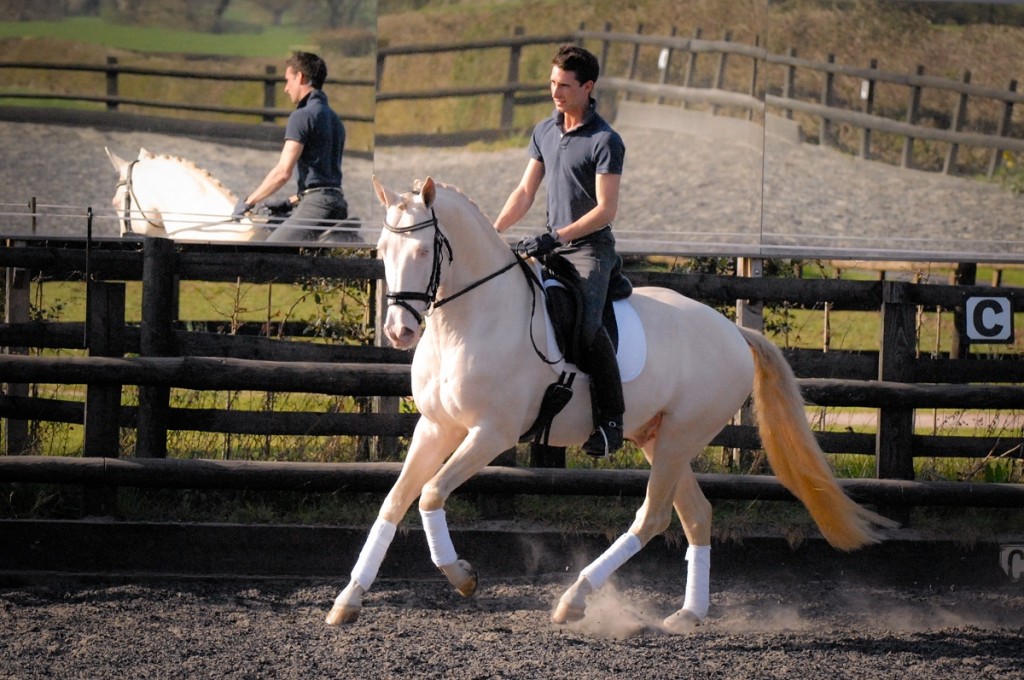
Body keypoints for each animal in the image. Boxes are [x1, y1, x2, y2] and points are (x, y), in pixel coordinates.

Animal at [327, 176, 897, 630]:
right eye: (383, 249)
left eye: (424, 252)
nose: (399, 331)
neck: (469, 321)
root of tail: (735, 333)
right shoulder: (435, 427)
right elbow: (395, 501)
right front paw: (347, 600)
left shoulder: (490, 433)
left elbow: (430, 495)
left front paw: (462, 576)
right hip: (657, 437)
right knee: (697, 515)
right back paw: (687, 615)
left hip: (678, 438)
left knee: (654, 517)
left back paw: (574, 600)